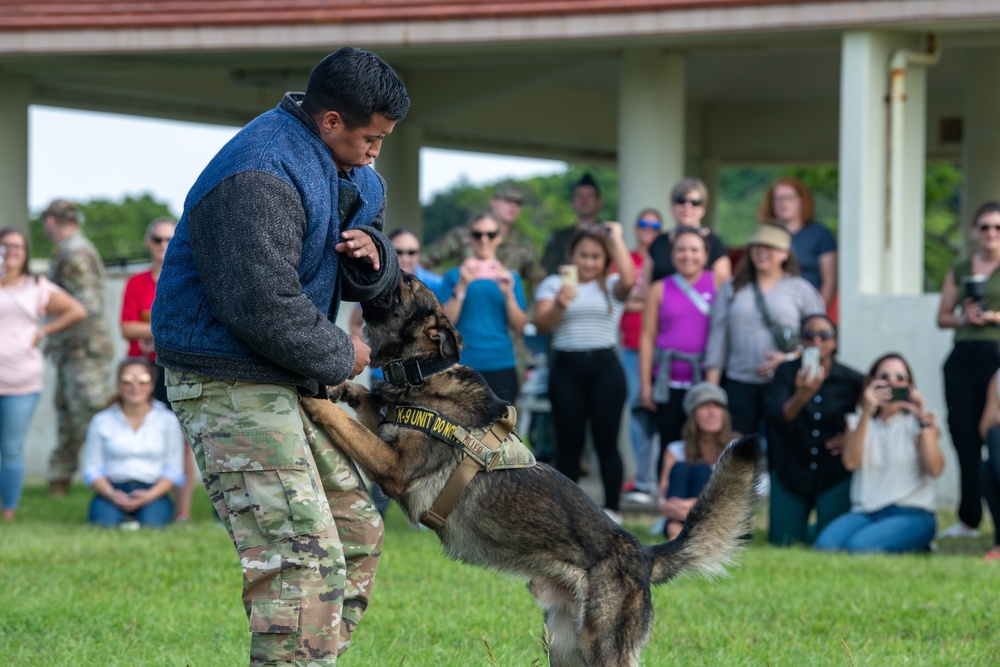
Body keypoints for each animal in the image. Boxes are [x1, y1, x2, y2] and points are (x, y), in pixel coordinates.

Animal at [300, 272, 760, 667]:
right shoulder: (386, 442)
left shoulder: (393, 466)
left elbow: (347, 423)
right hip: (565, 646)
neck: (423, 371)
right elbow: (366, 408)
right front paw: (344, 388)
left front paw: (313, 398)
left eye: (407, 282)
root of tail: (644, 555)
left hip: (601, 648)